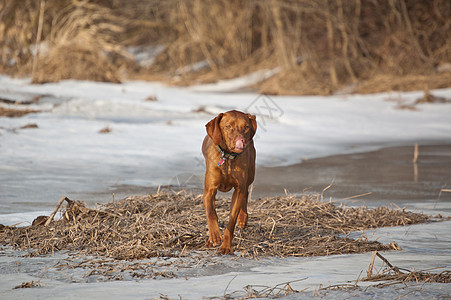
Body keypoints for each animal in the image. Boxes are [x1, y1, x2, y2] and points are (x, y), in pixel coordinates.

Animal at [202, 109, 258, 254]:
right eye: (228, 126)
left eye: (246, 127)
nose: (240, 141)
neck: (227, 158)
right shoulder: (209, 191)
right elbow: (211, 213)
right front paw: (214, 235)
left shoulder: (238, 189)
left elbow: (231, 221)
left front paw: (226, 246)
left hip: (250, 174)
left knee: (246, 192)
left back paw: (243, 218)